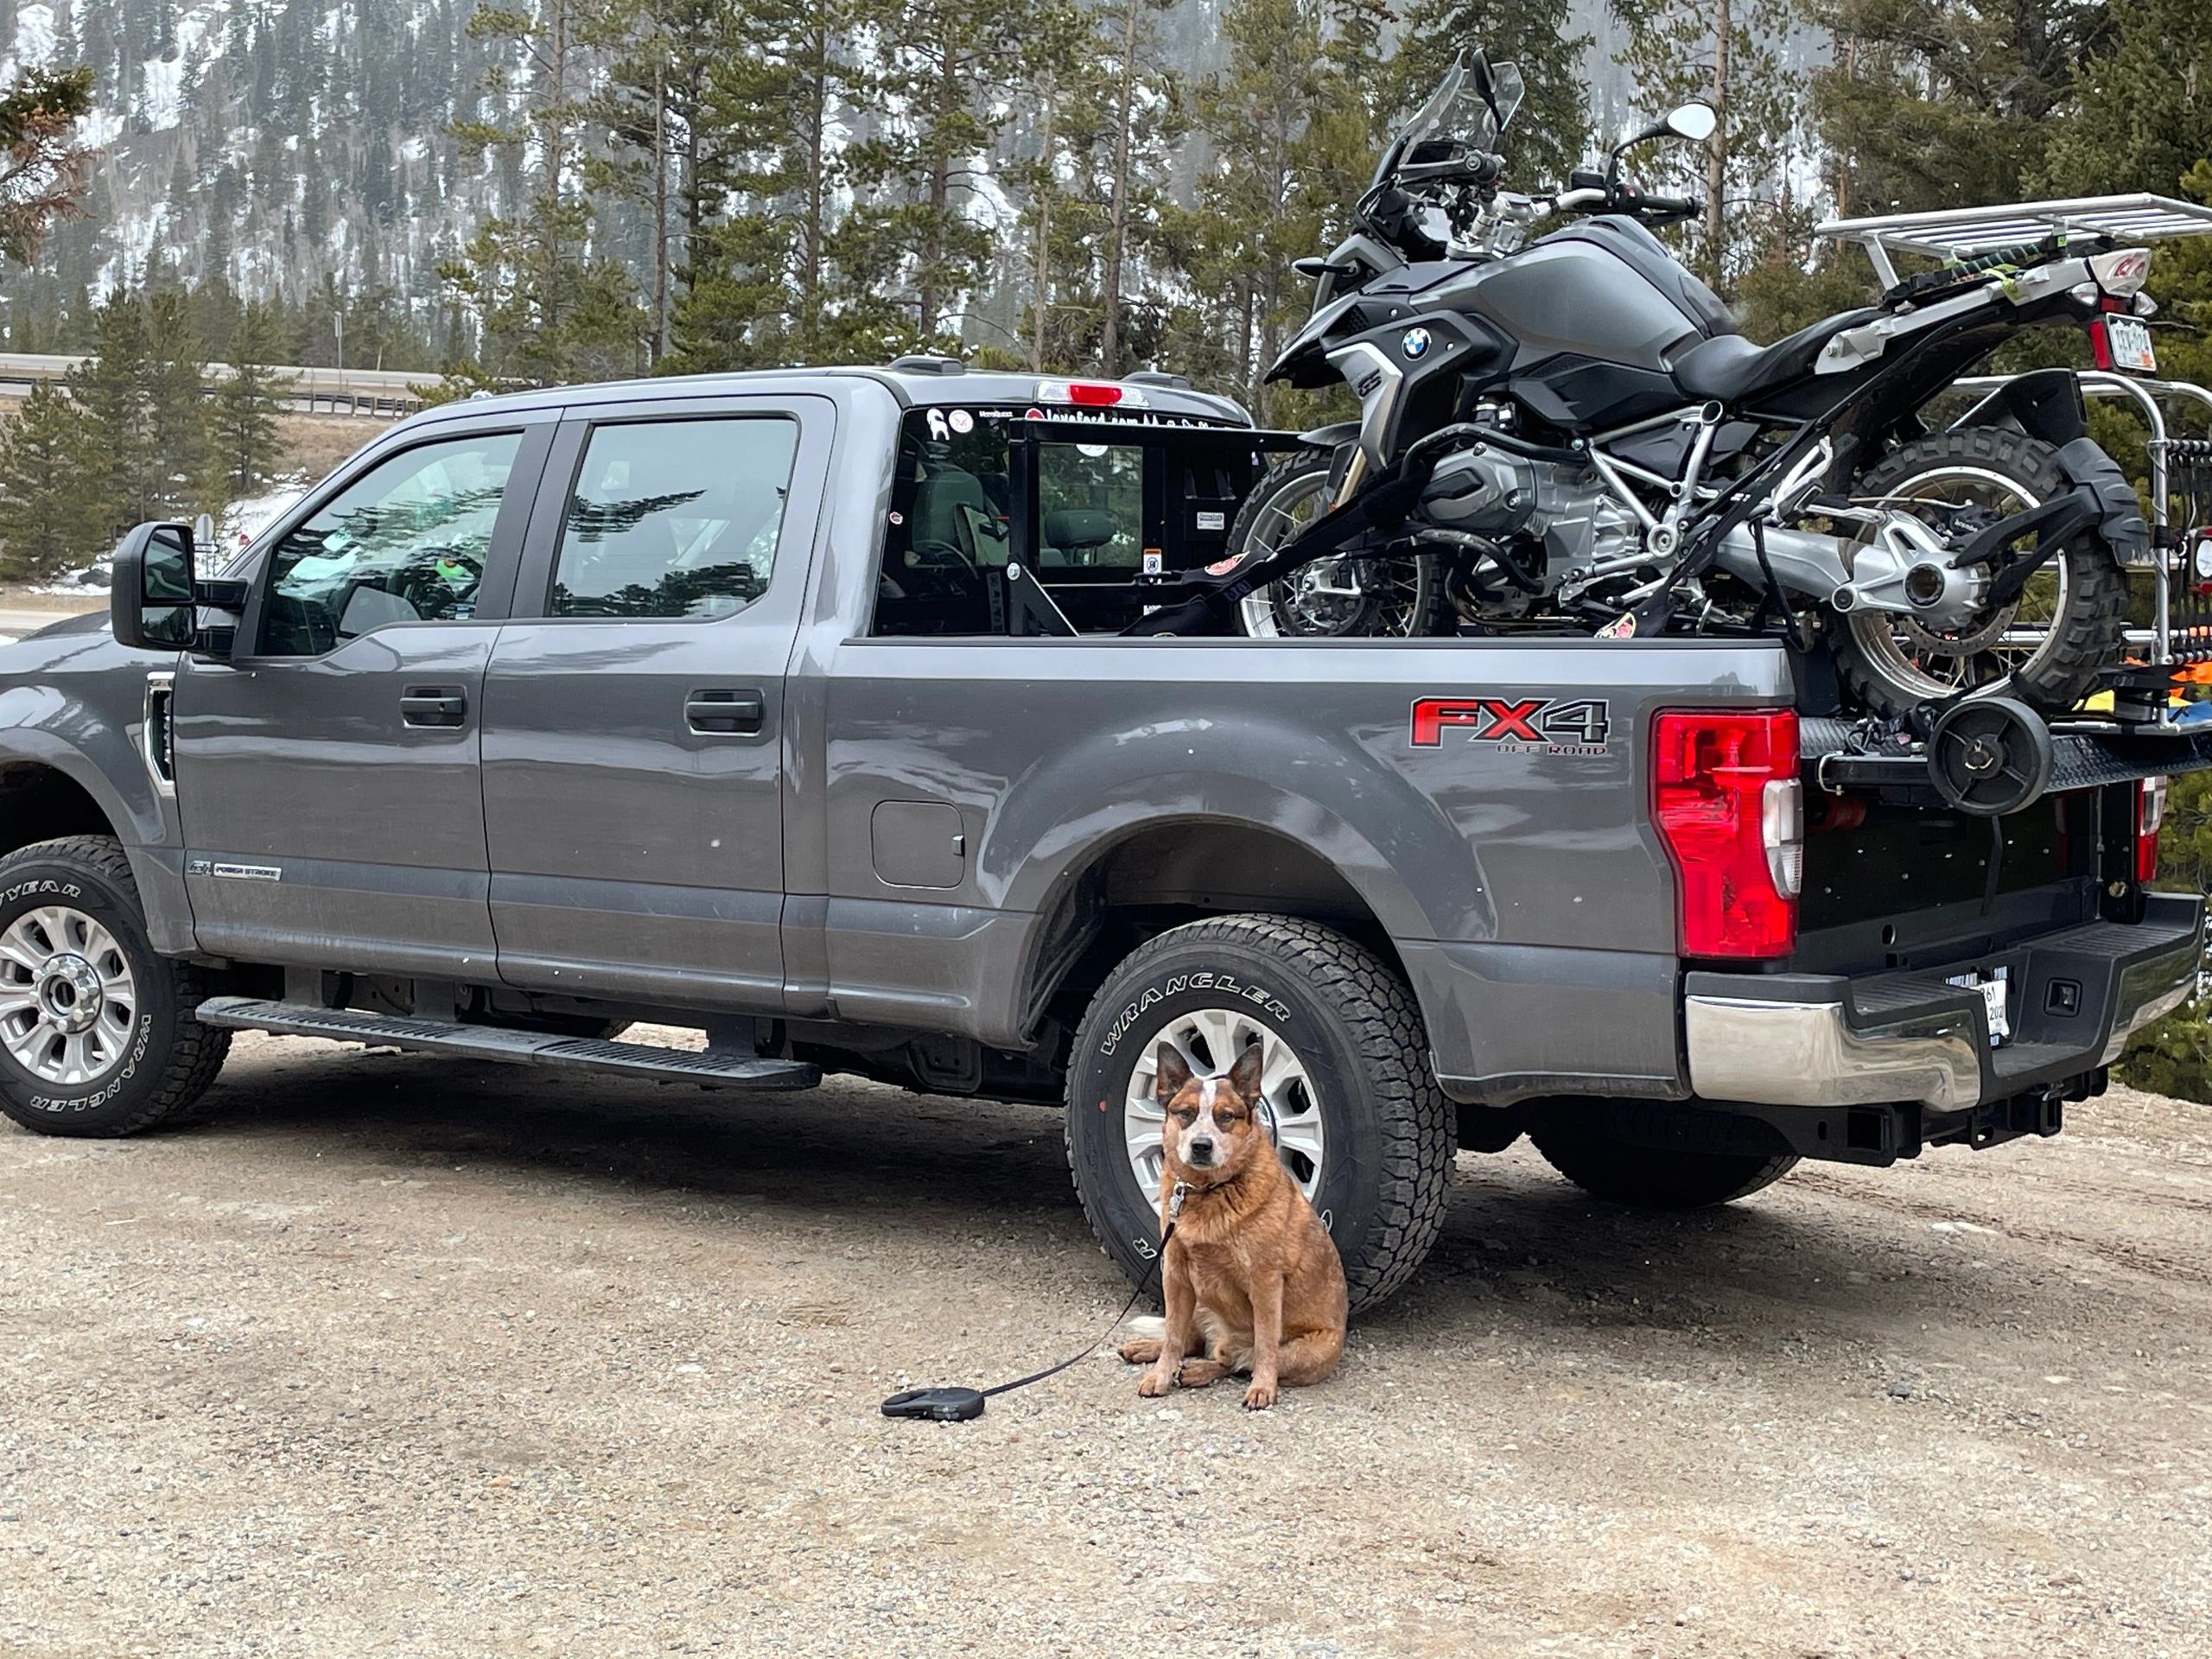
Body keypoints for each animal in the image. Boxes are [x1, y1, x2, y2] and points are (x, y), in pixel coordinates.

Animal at [1123, 1044, 1344, 1407]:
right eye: (1186, 1113)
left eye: (1226, 1116)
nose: (1201, 1145)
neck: (1208, 1191)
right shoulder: (1175, 1273)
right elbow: (1172, 1336)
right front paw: (1160, 1376)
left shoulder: (1265, 1280)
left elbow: (1266, 1343)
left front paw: (1263, 1388)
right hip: (1199, 1298)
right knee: (1194, 1342)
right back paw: (1150, 1351)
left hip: (1310, 1349)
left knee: (1235, 1360)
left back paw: (1202, 1371)